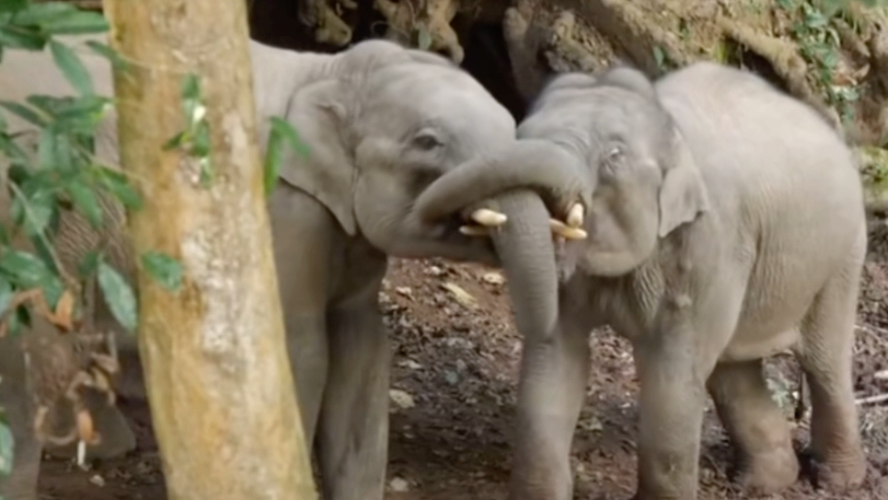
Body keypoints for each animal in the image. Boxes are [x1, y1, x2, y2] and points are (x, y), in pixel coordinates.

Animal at [0, 33, 584, 498]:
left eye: (511, 125)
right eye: (428, 142)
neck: (329, 73)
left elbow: (361, 347)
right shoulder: (281, 207)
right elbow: (300, 346)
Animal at [412, 63, 872, 500]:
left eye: (614, 155)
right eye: (520, 134)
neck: (668, 123)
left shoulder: (710, 243)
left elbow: (672, 374)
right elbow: (557, 357)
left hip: (844, 255)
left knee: (823, 359)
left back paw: (836, 481)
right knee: (731, 371)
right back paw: (761, 483)